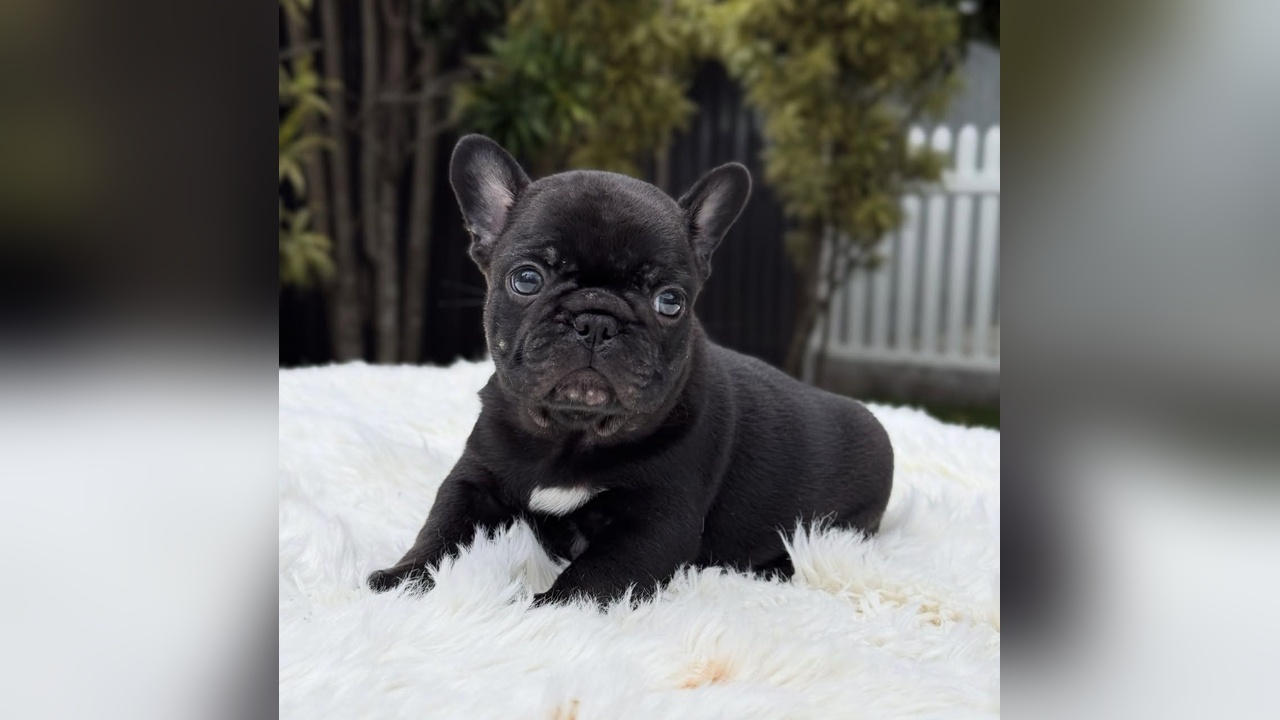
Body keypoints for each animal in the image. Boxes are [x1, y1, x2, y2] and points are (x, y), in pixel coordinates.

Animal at [368, 135, 893, 605]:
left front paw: (540, 609)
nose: (597, 320)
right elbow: (441, 530)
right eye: (527, 279)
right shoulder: (474, 481)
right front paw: (403, 578)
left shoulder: (654, 522)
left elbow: (591, 579)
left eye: (670, 301)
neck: (570, 433)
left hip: (843, 523)